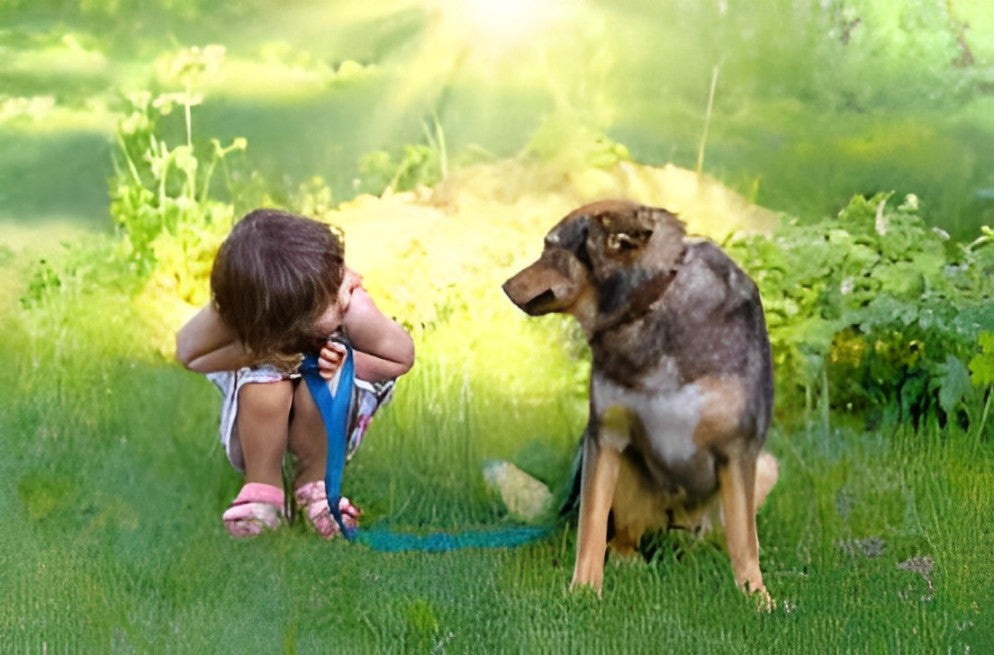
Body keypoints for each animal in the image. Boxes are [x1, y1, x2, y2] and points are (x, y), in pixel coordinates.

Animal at [504, 200, 776, 604]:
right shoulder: (605, 437)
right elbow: (591, 529)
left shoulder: (737, 448)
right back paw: (627, 562)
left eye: (550, 250)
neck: (650, 303)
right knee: (623, 539)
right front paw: (584, 591)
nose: (503, 286)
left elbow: (745, 542)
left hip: (762, 470)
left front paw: (757, 599)